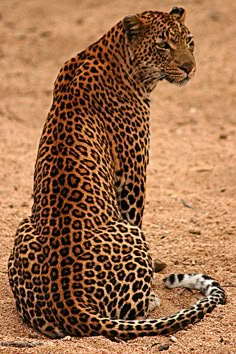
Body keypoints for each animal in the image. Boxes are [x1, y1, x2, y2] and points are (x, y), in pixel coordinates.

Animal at [7, 6, 226, 338]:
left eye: (189, 41)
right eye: (163, 45)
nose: (189, 68)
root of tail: (70, 304)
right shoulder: (132, 175)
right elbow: (135, 209)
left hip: (23, 227)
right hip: (132, 235)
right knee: (130, 310)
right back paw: (150, 298)